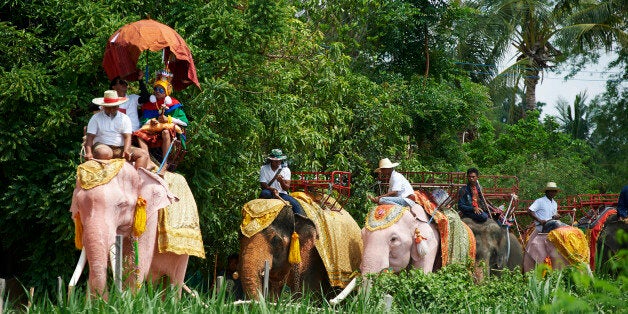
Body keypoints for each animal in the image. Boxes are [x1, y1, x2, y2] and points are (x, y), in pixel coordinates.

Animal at [71, 161, 185, 298]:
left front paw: (128, 298)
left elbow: (137, 263)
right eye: (78, 205)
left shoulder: (150, 217)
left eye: (122, 205)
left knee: (175, 281)